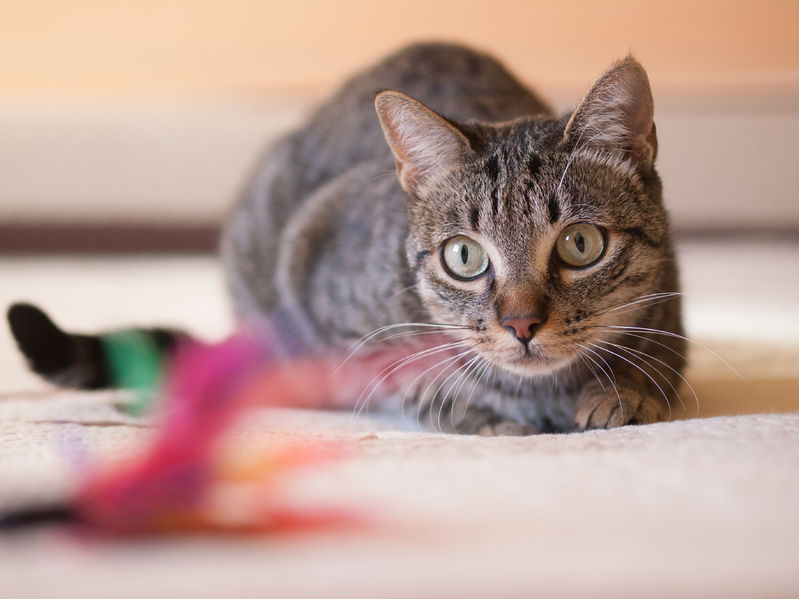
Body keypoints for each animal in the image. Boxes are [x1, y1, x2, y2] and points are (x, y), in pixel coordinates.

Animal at [6, 43, 684, 436]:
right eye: (464, 256)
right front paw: (475, 411)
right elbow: (395, 374)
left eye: (580, 245)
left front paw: (624, 390)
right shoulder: (313, 266)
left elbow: (658, 356)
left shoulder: (669, 295)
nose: (520, 323)